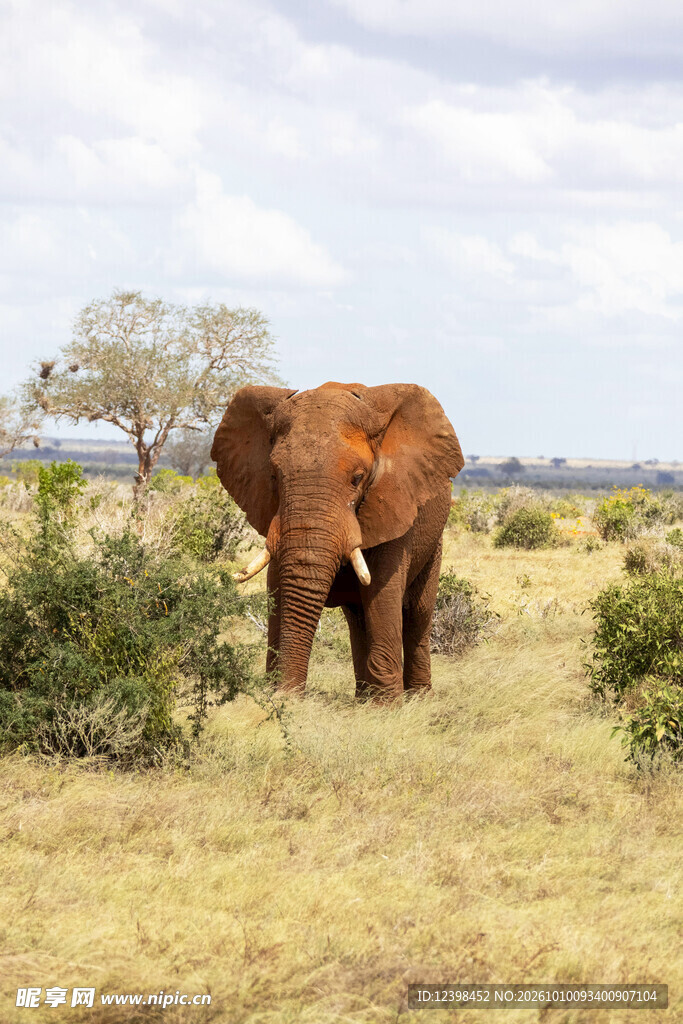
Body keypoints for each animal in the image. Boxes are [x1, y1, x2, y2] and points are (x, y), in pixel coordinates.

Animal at [211, 382, 464, 701]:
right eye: (275, 475)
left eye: (357, 478)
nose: (288, 694)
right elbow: (278, 588)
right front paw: (276, 696)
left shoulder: (395, 504)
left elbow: (382, 592)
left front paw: (387, 707)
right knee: (357, 617)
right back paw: (363, 697)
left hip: (434, 538)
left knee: (417, 613)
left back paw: (417, 698)